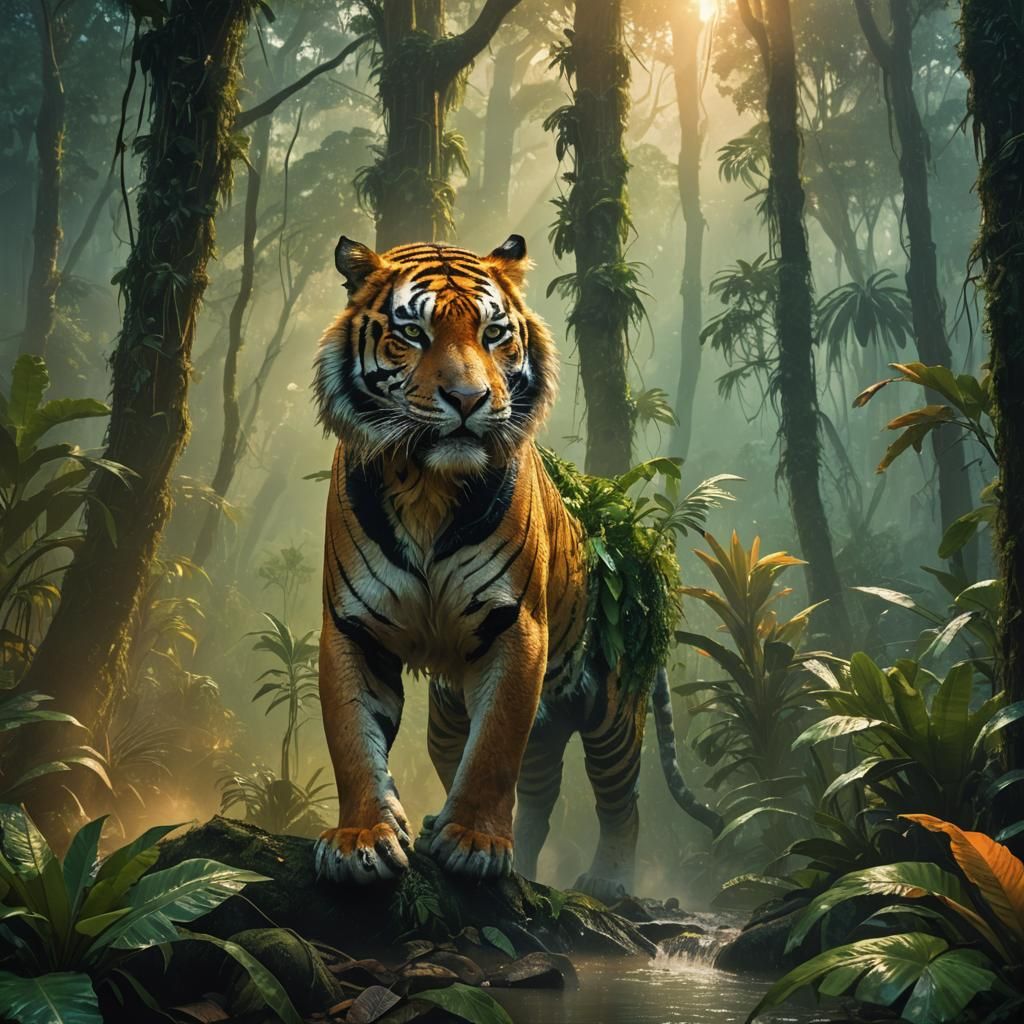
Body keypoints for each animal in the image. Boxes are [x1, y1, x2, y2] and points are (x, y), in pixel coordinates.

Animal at [311, 234, 721, 901]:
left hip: (612, 714)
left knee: (620, 800)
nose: (468, 400)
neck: (427, 487)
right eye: (414, 333)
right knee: (536, 793)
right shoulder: (353, 627)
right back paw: (517, 856)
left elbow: (493, 750)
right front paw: (364, 840)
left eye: (494, 333)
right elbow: (354, 741)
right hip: (464, 719)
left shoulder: (516, 625)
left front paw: (474, 844)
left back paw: (606, 881)